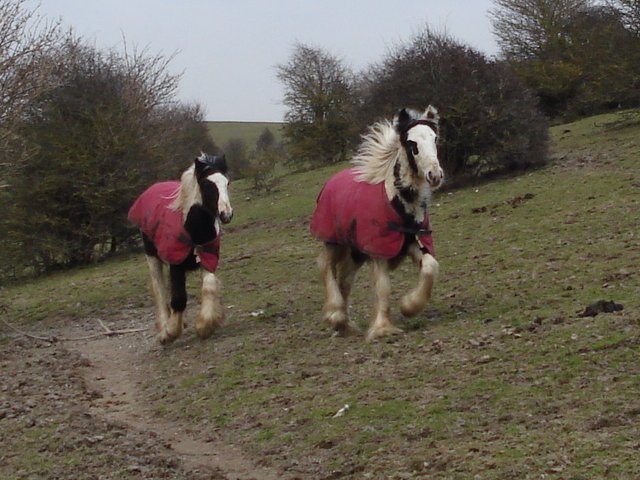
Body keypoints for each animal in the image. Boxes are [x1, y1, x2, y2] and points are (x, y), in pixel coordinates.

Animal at [128, 153, 233, 345]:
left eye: (226, 183)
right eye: (207, 185)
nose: (226, 214)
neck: (194, 231)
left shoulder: (207, 258)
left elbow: (209, 286)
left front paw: (205, 325)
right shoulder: (175, 263)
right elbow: (178, 299)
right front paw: (170, 332)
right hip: (152, 257)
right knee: (160, 288)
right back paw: (164, 327)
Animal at [310, 107, 444, 341]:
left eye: (434, 139)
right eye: (412, 144)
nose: (435, 175)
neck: (399, 204)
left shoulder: (413, 241)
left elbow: (430, 267)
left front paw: (409, 306)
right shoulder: (378, 249)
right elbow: (383, 287)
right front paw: (383, 328)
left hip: (355, 251)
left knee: (345, 278)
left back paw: (345, 325)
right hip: (335, 243)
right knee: (326, 265)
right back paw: (335, 314)